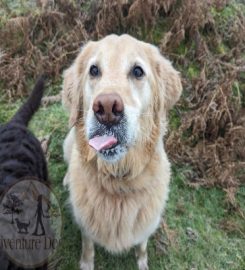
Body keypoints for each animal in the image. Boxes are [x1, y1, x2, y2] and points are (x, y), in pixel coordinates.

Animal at [62, 34, 183, 270]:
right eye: (94, 70)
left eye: (138, 71)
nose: (107, 108)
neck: (118, 181)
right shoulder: (85, 226)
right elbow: (88, 247)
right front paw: (86, 264)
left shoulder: (146, 226)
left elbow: (142, 247)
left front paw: (143, 263)